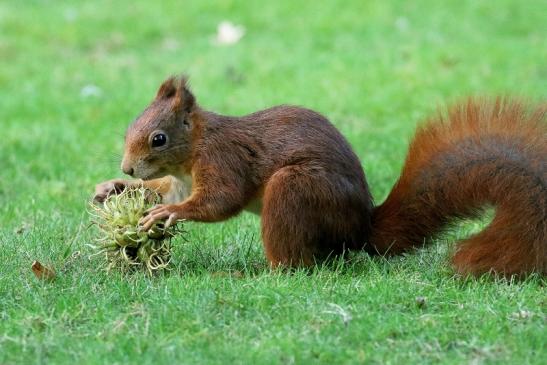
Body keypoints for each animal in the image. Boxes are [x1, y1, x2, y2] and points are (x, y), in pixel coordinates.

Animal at [95, 76, 547, 276]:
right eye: (131, 127)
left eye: (158, 138)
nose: (126, 167)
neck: (190, 154)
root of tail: (359, 229)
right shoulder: (178, 181)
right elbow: (162, 191)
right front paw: (115, 188)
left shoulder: (223, 160)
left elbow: (220, 200)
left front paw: (166, 216)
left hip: (297, 189)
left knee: (295, 264)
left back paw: (257, 272)